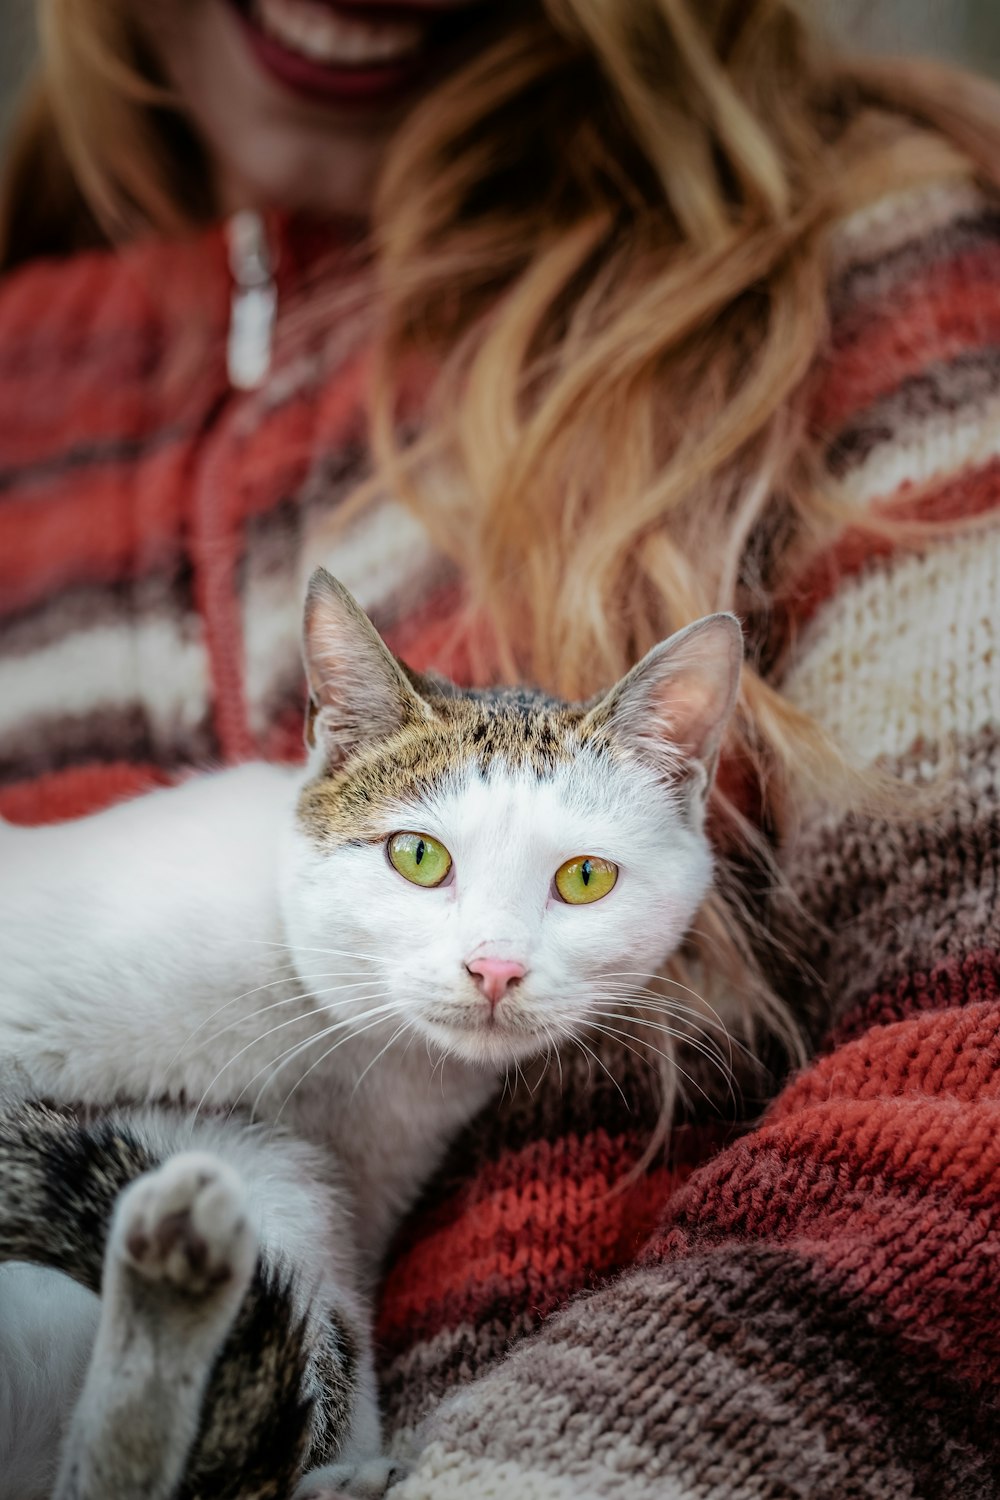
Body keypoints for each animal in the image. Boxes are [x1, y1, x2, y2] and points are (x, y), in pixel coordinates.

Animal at [0, 567, 740, 1494]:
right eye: (417, 857)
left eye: (584, 877)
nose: (495, 968)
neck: (343, 1055)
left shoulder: (355, 1205)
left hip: (284, 1183)